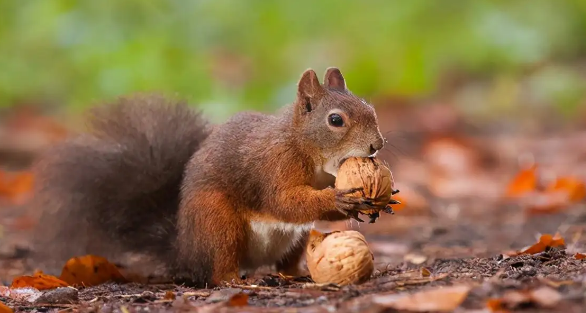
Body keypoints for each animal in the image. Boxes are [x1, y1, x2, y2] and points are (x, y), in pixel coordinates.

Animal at [30, 67, 388, 286]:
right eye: (335, 120)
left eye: (370, 109)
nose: (377, 145)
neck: (304, 146)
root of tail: (184, 250)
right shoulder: (274, 165)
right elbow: (284, 201)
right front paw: (338, 199)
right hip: (217, 222)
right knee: (219, 269)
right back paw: (240, 280)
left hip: (293, 239)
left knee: (285, 262)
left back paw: (296, 273)